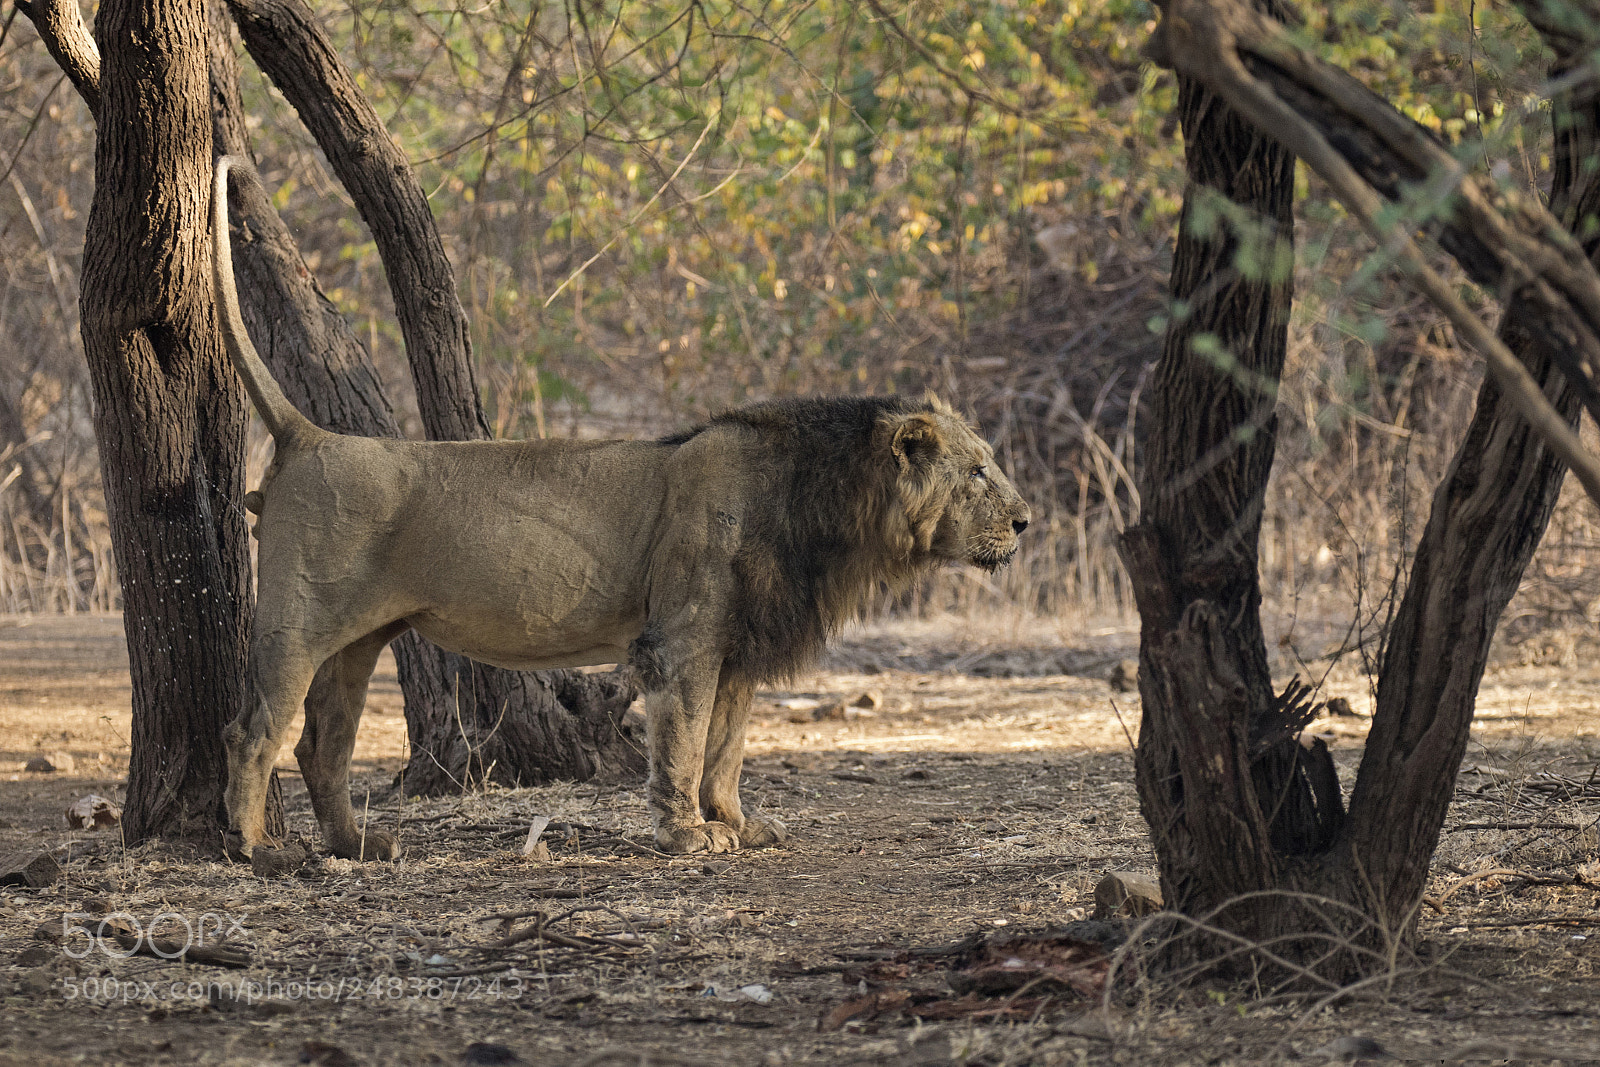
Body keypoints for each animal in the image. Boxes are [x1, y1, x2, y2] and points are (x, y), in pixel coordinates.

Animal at [213, 156, 1031, 861]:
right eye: (978, 470)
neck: (826, 509)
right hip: (297, 623)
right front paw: (688, 835)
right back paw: (258, 849)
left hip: (359, 639)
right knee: (252, 730)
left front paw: (738, 825)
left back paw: (356, 843)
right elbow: (688, 742)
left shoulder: (740, 645)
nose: (1025, 521)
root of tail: (312, 433)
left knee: (322, 741)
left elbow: (728, 748)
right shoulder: (685, 637)